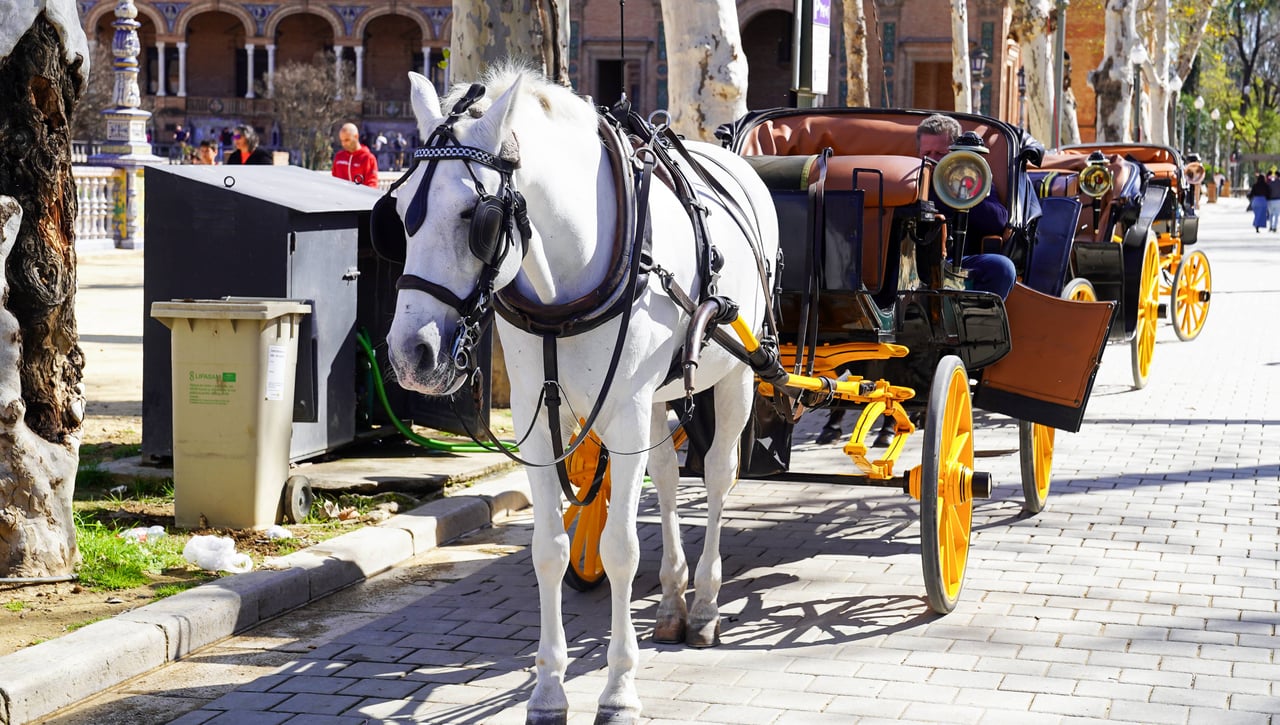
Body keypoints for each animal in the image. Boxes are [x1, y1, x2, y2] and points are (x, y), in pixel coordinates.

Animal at [384, 64, 779, 725]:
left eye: (474, 217)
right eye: (395, 212)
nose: (411, 356)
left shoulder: (624, 414)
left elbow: (619, 549)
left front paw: (619, 689)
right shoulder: (539, 417)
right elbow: (549, 548)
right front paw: (548, 689)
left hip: (737, 375)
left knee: (719, 476)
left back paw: (703, 605)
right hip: (655, 396)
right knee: (667, 477)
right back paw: (672, 600)